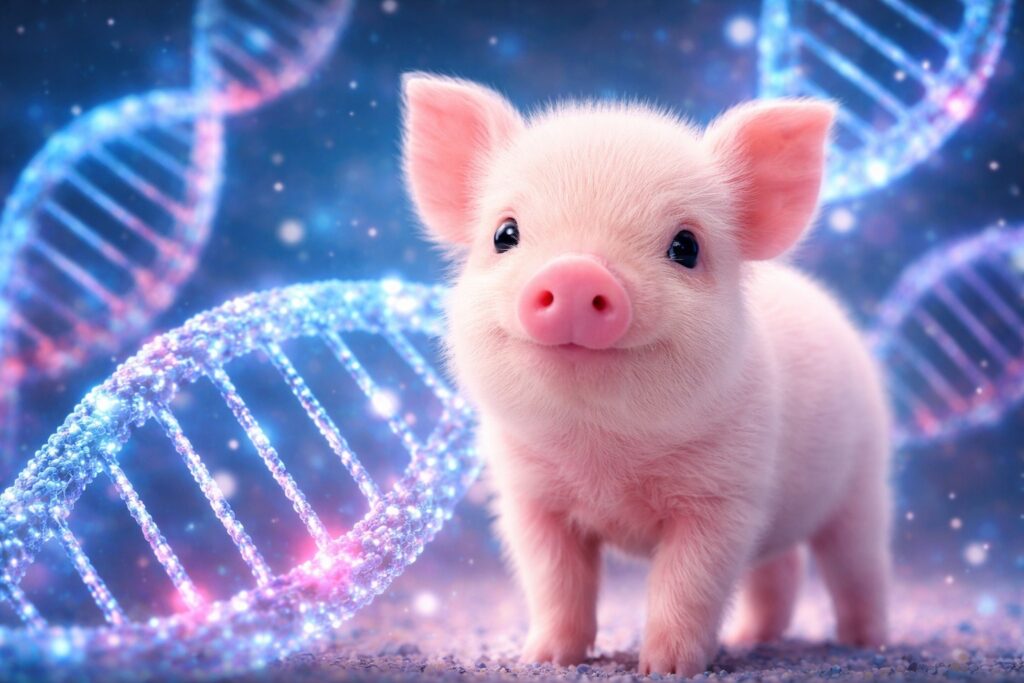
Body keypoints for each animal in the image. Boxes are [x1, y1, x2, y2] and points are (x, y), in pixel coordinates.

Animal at [400, 73, 891, 677]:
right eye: (505, 233)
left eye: (686, 246)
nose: (575, 271)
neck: (603, 452)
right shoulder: (529, 498)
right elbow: (554, 581)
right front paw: (545, 658)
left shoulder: (726, 499)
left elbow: (689, 583)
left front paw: (665, 668)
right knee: (779, 569)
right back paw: (753, 638)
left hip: (863, 480)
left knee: (856, 565)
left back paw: (867, 643)